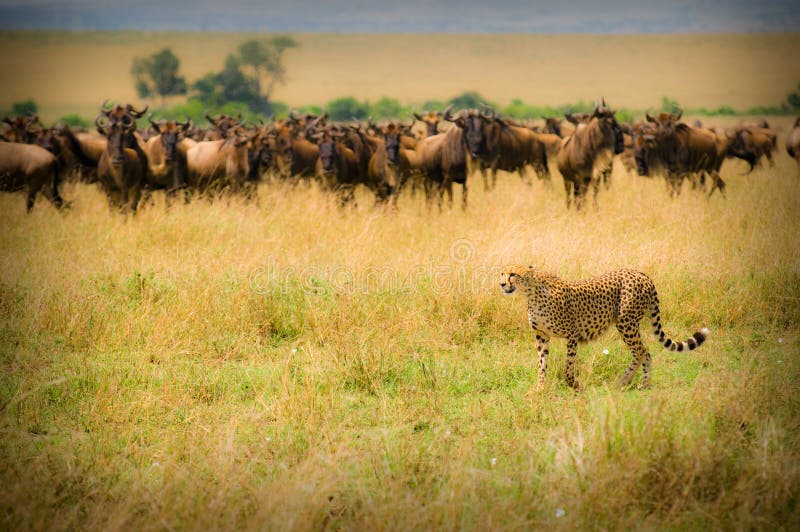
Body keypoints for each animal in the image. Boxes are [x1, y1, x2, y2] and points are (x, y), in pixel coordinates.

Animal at [496, 268, 708, 388]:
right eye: (502, 273)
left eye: (513, 274)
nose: (501, 283)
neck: (531, 292)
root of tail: (640, 273)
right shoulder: (541, 336)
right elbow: (542, 364)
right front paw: (540, 388)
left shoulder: (572, 334)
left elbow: (568, 364)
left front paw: (572, 384)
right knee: (645, 353)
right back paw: (642, 383)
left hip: (626, 322)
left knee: (641, 352)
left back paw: (626, 382)